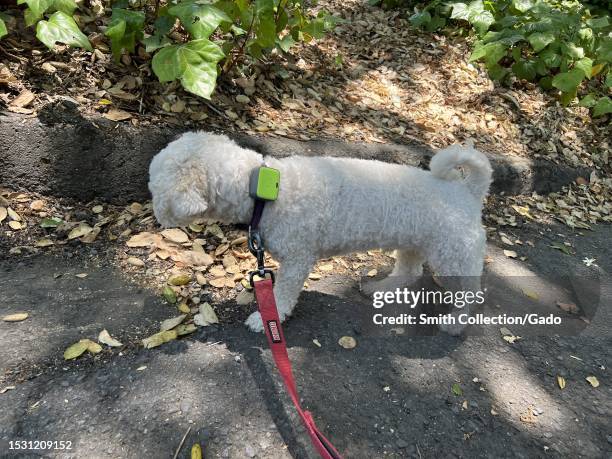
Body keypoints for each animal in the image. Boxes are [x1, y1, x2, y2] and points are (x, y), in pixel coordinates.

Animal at [148, 131, 492, 336]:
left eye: (154, 188)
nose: (154, 214)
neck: (263, 187)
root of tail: (468, 191)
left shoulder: (298, 259)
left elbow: (283, 294)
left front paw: (266, 319)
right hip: (414, 242)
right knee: (409, 271)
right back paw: (380, 288)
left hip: (453, 255)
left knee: (468, 293)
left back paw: (455, 323)